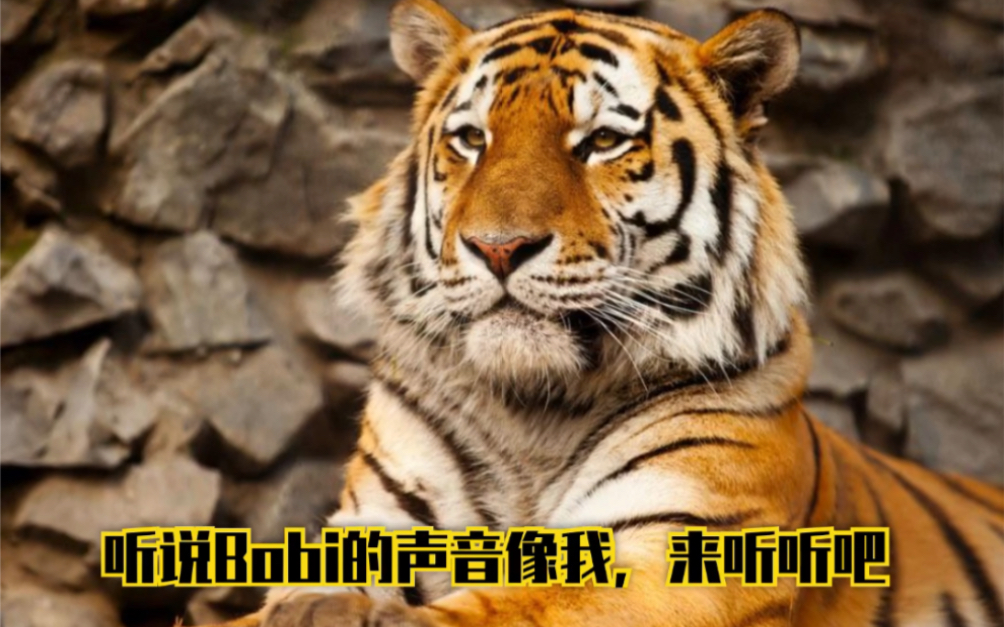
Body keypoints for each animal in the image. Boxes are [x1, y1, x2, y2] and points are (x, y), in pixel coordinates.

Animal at [201, 1, 1004, 626]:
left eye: (603, 142)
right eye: (472, 139)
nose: (497, 247)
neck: (530, 409)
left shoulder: (682, 551)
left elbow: (506, 607)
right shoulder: (380, 517)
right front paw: (310, 604)